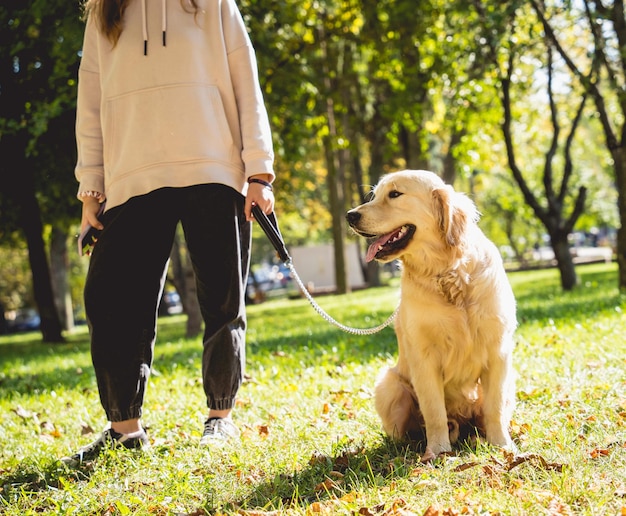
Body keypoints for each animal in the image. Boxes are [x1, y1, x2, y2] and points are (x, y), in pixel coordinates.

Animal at [344, 170, 516, 464]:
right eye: (375, 195)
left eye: (395, 194)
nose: (350, 215)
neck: (446, 272)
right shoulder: (424, 358)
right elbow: (434, 411)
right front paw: (437, 451)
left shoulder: (498, 352)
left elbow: (495, 408)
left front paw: (503, 446)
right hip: (389, 384)